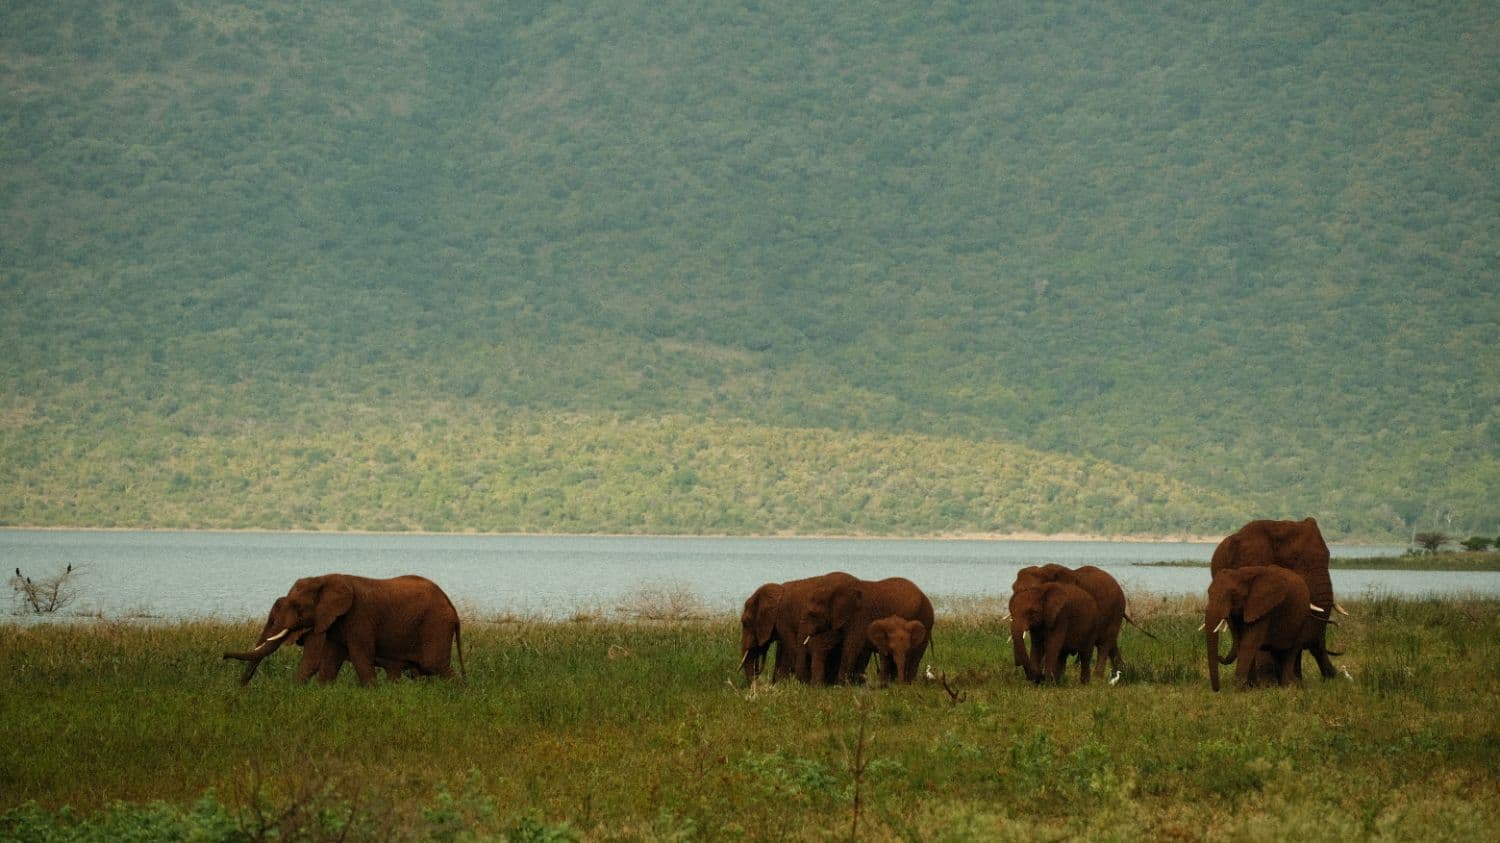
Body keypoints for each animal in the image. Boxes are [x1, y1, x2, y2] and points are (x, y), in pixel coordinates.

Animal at [223, 574, 464, 685]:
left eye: (297, 607)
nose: (224, 656)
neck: (325, 578)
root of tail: (451, 605)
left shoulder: (358, 618)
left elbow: (358, 657)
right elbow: (329, 662)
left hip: (435, 626)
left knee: (435, 666)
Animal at [797, 576, 934, 686]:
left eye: (812, 614)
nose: (811, 686)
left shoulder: (860, 615)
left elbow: (852, 646)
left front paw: (841, 685)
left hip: (925, 620)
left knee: (914, 656)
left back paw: (907, 684)